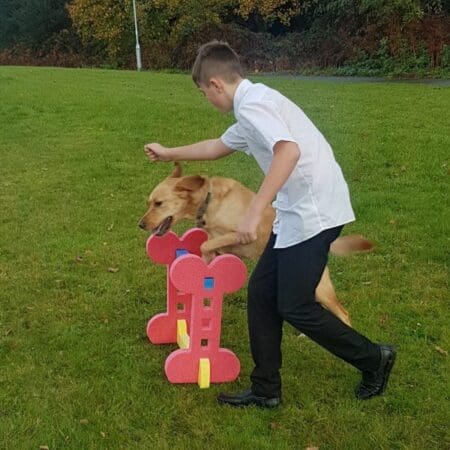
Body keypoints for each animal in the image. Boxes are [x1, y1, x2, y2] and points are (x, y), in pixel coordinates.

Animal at [140, 163, 372, 326]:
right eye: (149, 203)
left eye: (158, 204)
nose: (140, 224)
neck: (209, 201)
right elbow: (210, 244)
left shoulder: (241, 234)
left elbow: (207, 244)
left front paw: (207, 257)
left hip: (320, 288)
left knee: (343, 312)